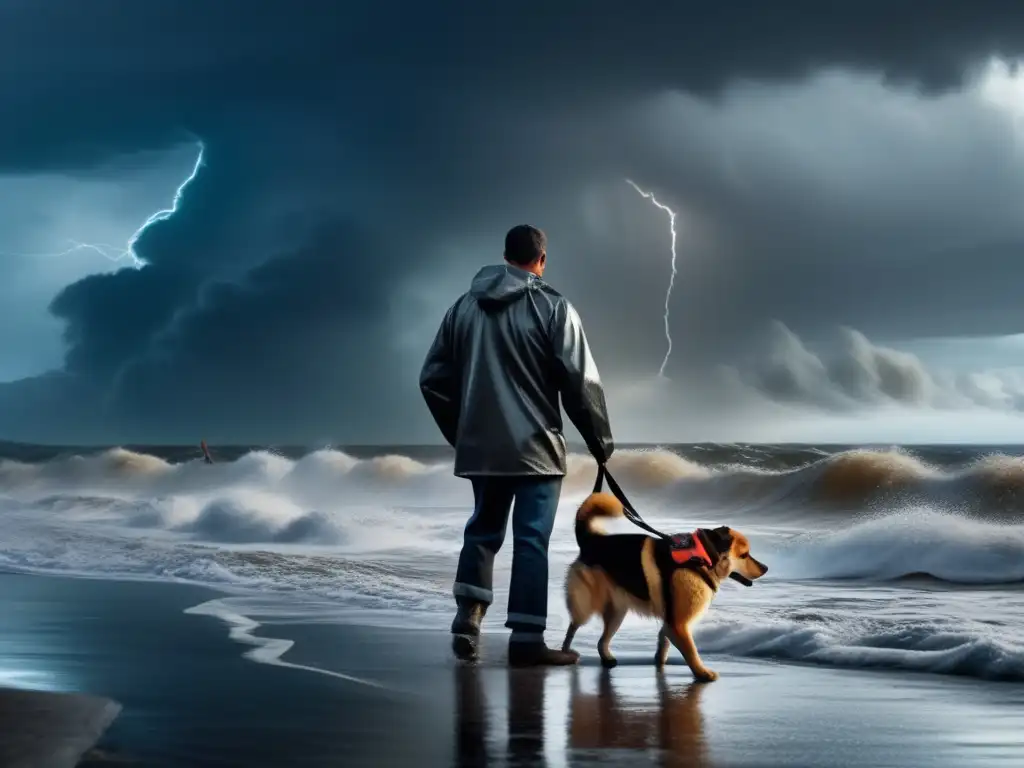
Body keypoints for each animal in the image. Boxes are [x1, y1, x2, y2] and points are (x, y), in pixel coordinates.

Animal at [561, 489, 770, 684]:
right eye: (744, 555)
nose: (766, 568)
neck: (703, 557)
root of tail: (589, 540)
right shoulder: (679, 624)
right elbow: (691, 651)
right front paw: (702, 673)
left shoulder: (671, 622)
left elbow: (664, 641)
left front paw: (660, 663)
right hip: (586, 606)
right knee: (572, 628)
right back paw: (565, 654)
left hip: (617, 612)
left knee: (601, 641)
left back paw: (607, 658)